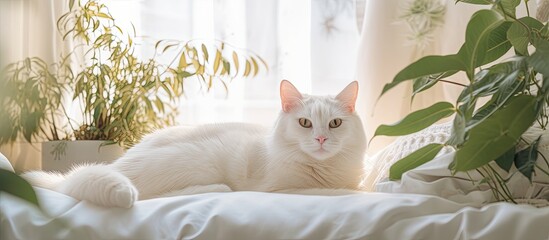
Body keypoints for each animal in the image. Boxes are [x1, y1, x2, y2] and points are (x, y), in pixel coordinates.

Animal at [22, 79, 364, 207]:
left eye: (335, 124)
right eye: (305, 123)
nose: (321, 138)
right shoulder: (284, 189)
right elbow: (346, 191)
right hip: (199, 160)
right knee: (150, 196)